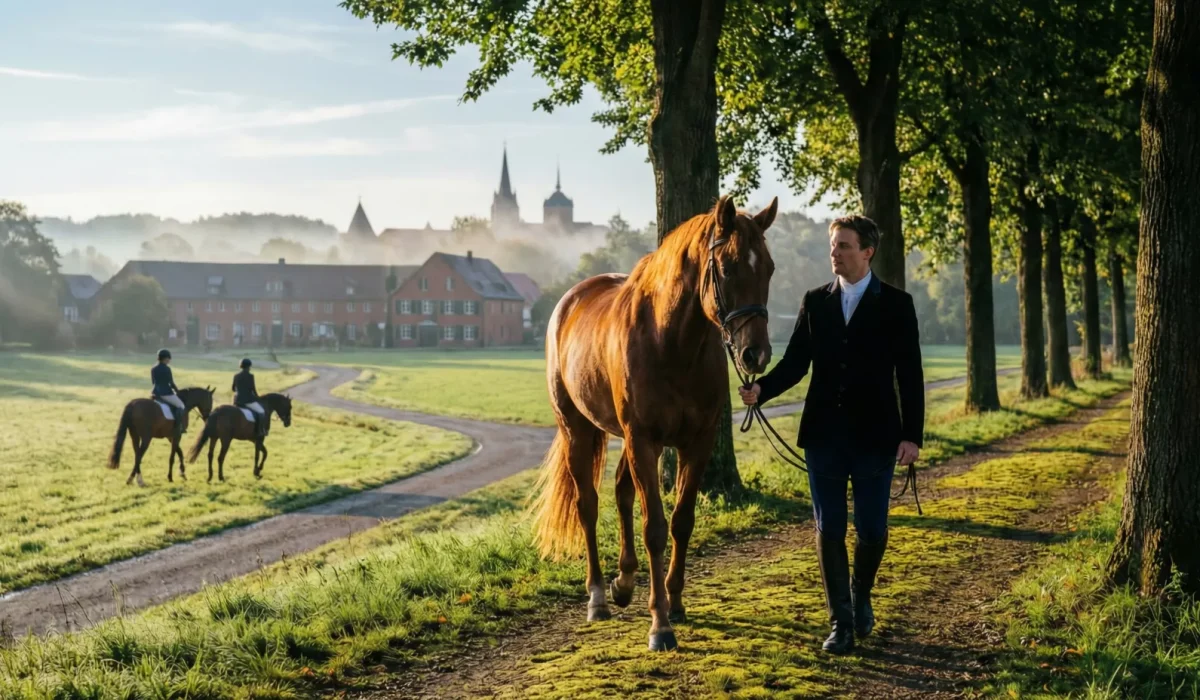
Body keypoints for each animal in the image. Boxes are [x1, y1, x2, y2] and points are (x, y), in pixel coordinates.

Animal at [532, 194, 778, 651]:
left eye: (769, 268)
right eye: (728, 267)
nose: (756, 354)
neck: (671, 342)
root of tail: (569, 302)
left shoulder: (695, 443)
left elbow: (682, 521)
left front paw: (675, 603)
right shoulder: (644, 441)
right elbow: (656, 528)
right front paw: (660, 623)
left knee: (621, 492)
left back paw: (625, 581)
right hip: (580, 431)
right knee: (588, 505)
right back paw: (598, 597)